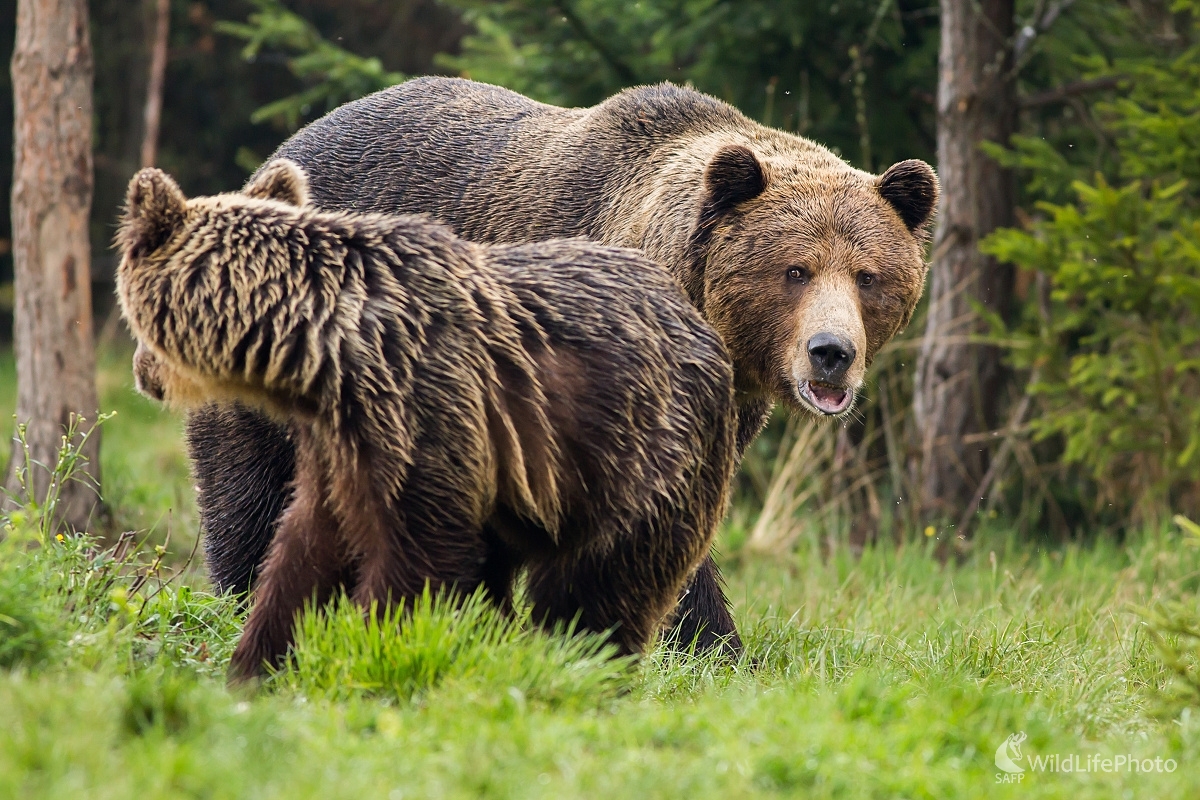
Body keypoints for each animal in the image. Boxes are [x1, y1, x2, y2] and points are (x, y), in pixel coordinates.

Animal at [117, 159, 734, 681]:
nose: (140, 370)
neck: (323, 354)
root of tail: (702, 326)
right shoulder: (335, 443)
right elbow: (305, 548)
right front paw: (255, 663)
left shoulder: (426, 413)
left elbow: (417, 560)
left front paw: (362, 654)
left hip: (637, 462)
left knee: (596, 593)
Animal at [187, 76, 936, 657]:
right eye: (794, 269)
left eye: (868, 276)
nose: (832, 353)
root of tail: (280, 152)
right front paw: (704, 642)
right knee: (253, 484)